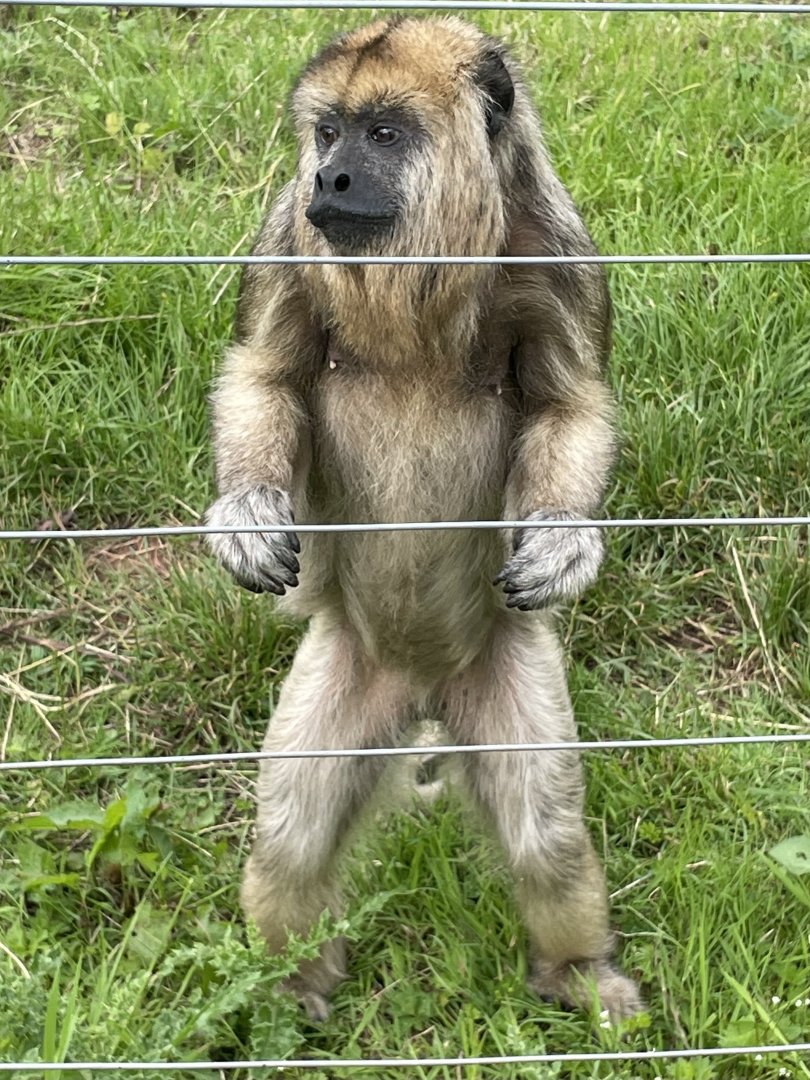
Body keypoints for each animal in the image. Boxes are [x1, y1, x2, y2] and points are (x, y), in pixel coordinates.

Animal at [204, 16, 642, 1024]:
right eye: (329, 134)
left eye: (385, 134)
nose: (330, 178)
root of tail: (424, 684)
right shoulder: (285, 235)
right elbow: (265, 376)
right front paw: (245, 512)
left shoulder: (557, 251)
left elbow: (570, 406)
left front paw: (564, 539)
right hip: (345, 670)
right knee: (292, 834)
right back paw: (292, 991)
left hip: (501, 667)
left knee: (547, 837)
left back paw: (576, 973)